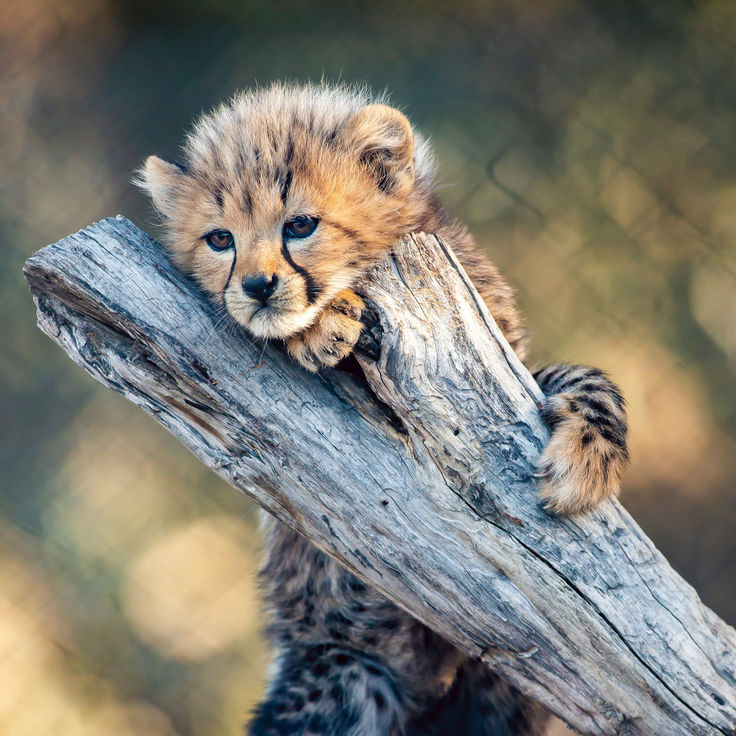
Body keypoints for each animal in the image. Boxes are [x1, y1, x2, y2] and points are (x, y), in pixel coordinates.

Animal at [137, 82, 629, 735]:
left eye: (300, 224)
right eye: (221, 239)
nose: (257, 287)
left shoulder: (492, 365)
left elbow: (582, 379)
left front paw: (587, 465)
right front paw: (320, 323)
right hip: (346, 675)